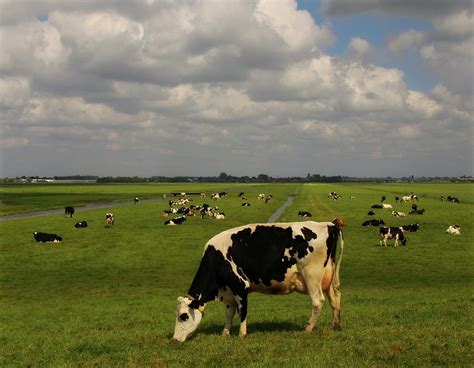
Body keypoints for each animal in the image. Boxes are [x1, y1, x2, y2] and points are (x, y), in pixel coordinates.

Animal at [172, 218, 346, 342]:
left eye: (184, 316)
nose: (174, 339)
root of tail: (329, 224)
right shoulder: (229, 291)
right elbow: (229, 313)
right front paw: (225, 333)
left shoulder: (240, 286)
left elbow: (242, 311)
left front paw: (242, 334)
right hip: (327, 277)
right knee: (335, 298)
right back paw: (336, 326)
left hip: (311, 275)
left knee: (317, 301)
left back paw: (308, 328)